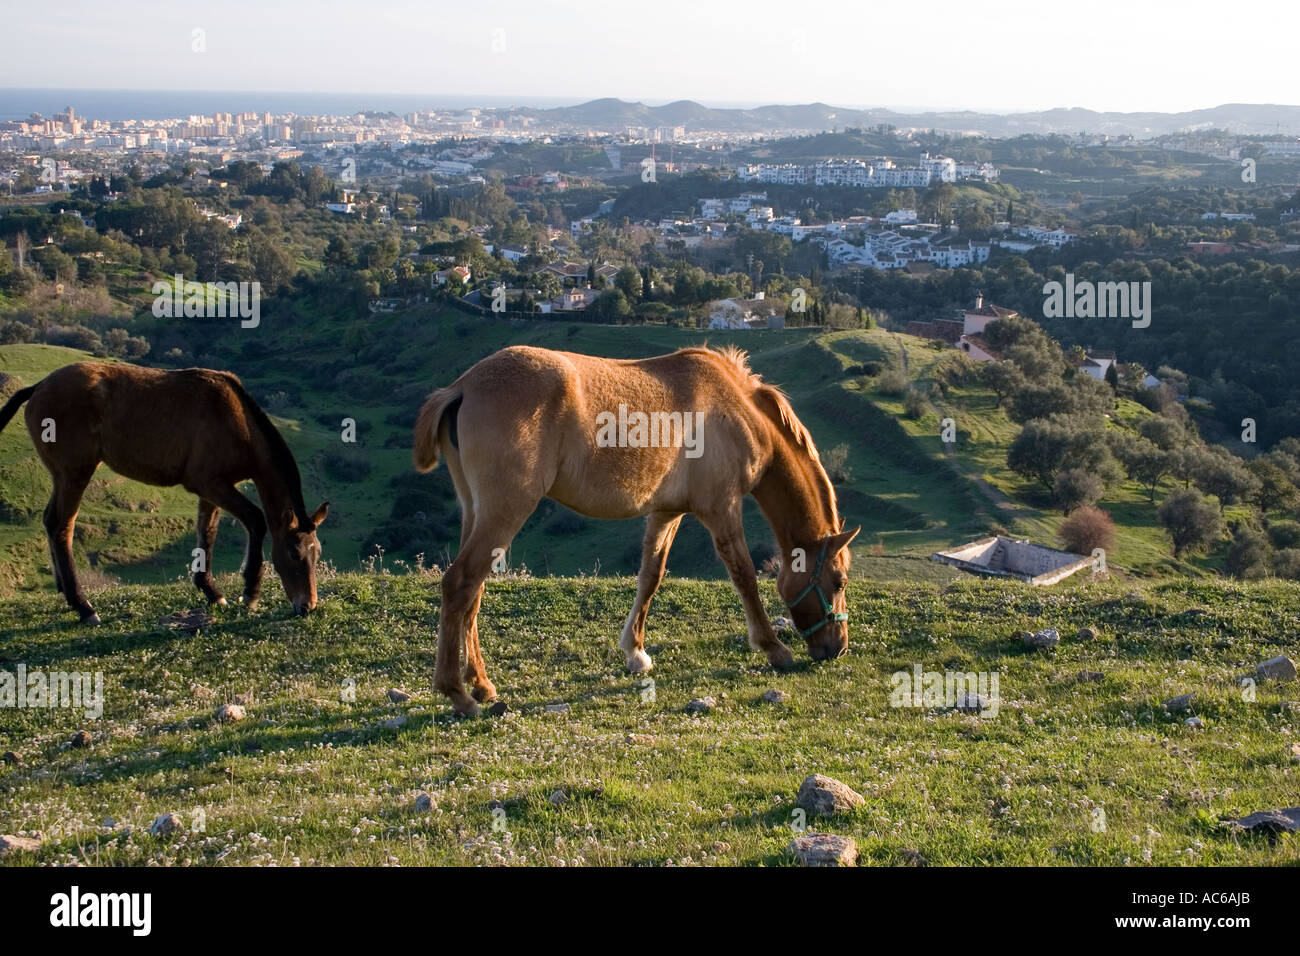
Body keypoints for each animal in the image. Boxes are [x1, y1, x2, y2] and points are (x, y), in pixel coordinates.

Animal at [0, 362, 328, 623]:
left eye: (317, 554)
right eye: (294, 554)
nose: (308, 606)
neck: (234, 418)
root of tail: (39, 386)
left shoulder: (211, 489)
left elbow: (207, 533)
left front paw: (211, 591)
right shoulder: (212, 484)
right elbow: (256, 521)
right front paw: (250, 592)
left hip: (63, 477)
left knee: (49, 521)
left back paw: (64, 591)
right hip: (74, 475)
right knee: (61, 527)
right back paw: (83, 606)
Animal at [413, 344, 859, 715]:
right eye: (837, 581)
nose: (837, 648)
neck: (736, 407)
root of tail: (462, 387)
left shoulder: (666, 512)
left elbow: (650, 577)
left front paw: (636, 652)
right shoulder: (721, 508)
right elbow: (744, 576)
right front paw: (772, 647)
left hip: (478, 512)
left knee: (472, 593)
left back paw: (481, 683)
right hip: (506, 510)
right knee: (460, 583)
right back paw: (458, 694)